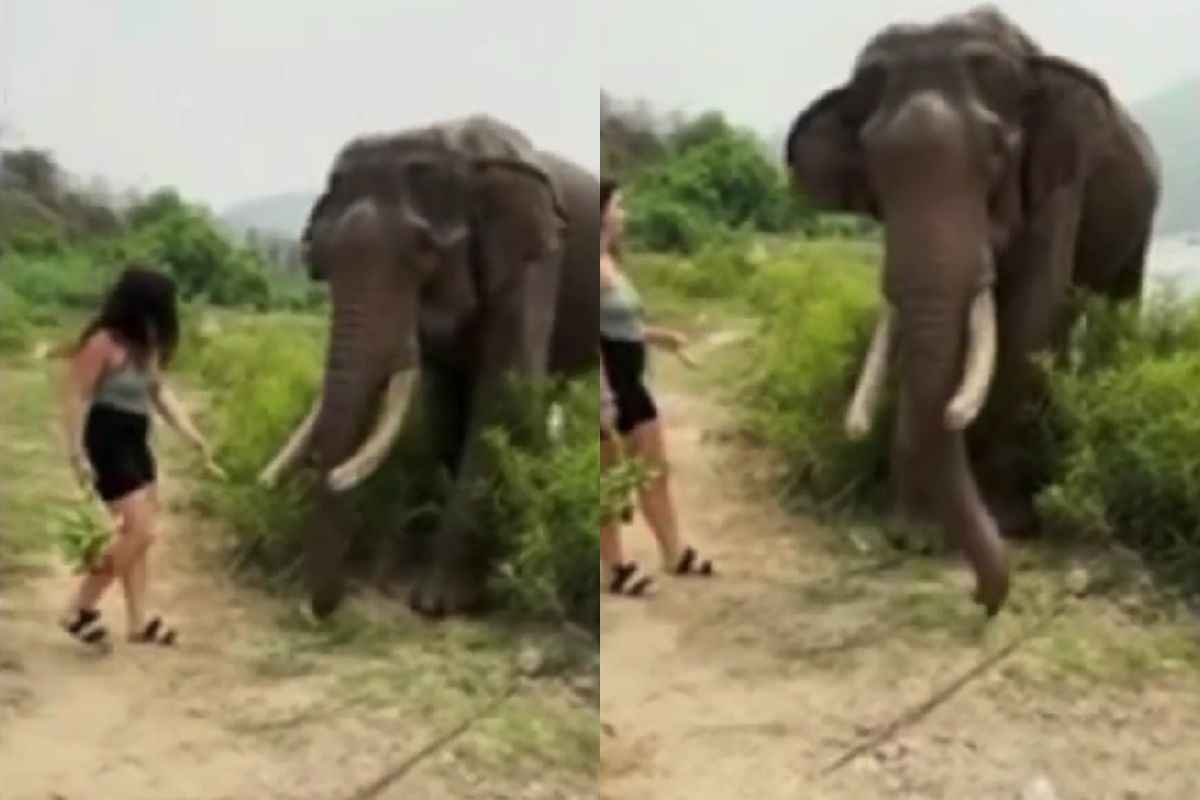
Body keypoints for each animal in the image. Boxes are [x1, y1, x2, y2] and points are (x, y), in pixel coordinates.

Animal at [261, 115, 600, 618]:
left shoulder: (533, 264)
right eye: (319, 260)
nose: (318, 609)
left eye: (423, 253)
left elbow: (501, 395)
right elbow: (445, 402)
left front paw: (436, 602)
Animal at [782, 6, 1156, 618]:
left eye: (997, 155)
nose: (983, 597)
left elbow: (1031, 313)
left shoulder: (1058, 180)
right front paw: (913, 537)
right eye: (873, 171)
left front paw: (1009, 524)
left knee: (1114, 303)